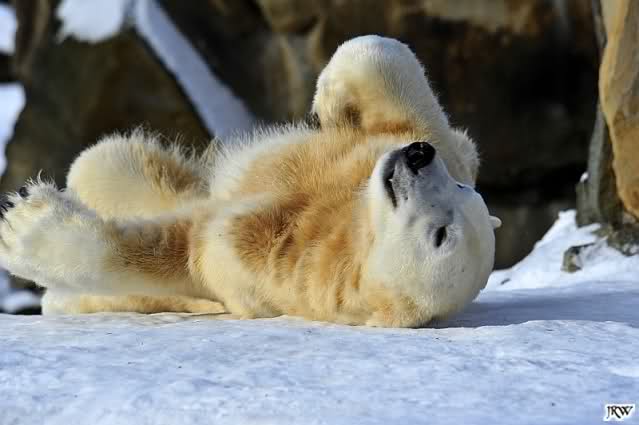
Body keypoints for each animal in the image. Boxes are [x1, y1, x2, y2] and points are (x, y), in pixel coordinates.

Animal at [0, 36, 501, 327]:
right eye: (462, 189)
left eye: (441, 235)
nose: (417, 158)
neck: (352, 224)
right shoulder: (380, 155)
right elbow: (383, 67)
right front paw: (329, 101)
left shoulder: (279, 264)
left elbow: (193, 247)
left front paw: (24, 227)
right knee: (107, 157)